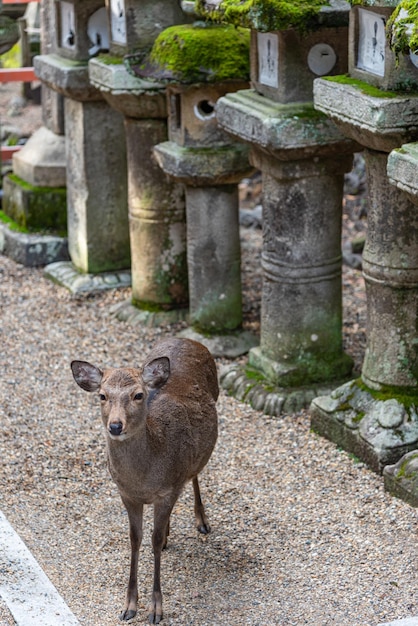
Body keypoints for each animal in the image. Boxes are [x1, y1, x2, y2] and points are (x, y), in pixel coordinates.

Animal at [70, 338, 219, 620]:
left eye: (138, 395)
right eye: (102, 396)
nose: (115, 426)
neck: (144, 479)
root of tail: (190, 340)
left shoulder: (167, 491)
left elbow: (154, 540)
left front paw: (156, 608)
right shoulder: (126, 494)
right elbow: (135, 539)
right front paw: (129, 605)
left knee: (195, 473)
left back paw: (202, 520)